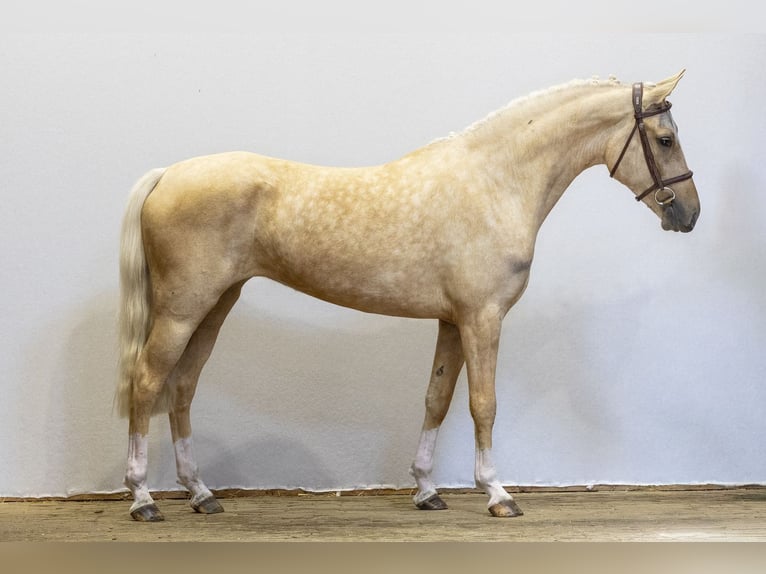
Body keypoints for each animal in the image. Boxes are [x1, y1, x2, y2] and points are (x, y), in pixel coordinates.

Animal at [117, 71, 699, 522]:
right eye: (665, 139)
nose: (688, 214)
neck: (497, 183)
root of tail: (168, 174)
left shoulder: (452, 321)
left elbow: (436, 397)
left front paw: (425, 490)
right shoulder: (483, 318)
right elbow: (483, 403)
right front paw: (497, 493)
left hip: (216, 305)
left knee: (183, 386)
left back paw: (201, 494)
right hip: (182, 309)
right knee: (147, 382)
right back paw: (144, 498)